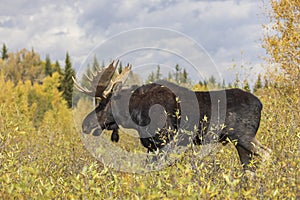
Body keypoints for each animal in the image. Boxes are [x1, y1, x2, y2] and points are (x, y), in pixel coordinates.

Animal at [74, 59, 270, 172]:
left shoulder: (164, 141)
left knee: (266, 153)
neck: (135, 116)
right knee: (249, 167)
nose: (85, 124)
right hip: (238, 142)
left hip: (244, 136)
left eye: (101, 104)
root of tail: (260, 104)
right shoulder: (151, 146)